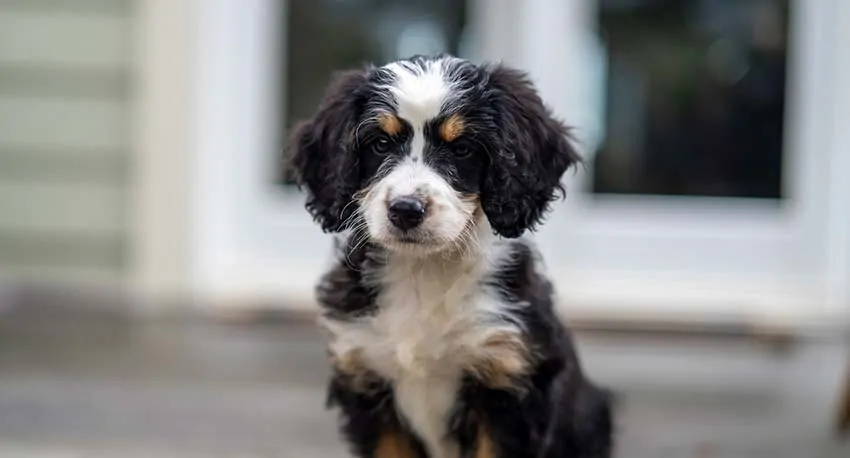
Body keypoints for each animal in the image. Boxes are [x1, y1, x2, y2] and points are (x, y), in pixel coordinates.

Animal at [286, 54, 608, 458]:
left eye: (461, 149)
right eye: (379, 144)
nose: (406, 210)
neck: (424, 271)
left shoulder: (507, 384)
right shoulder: (368, 382)